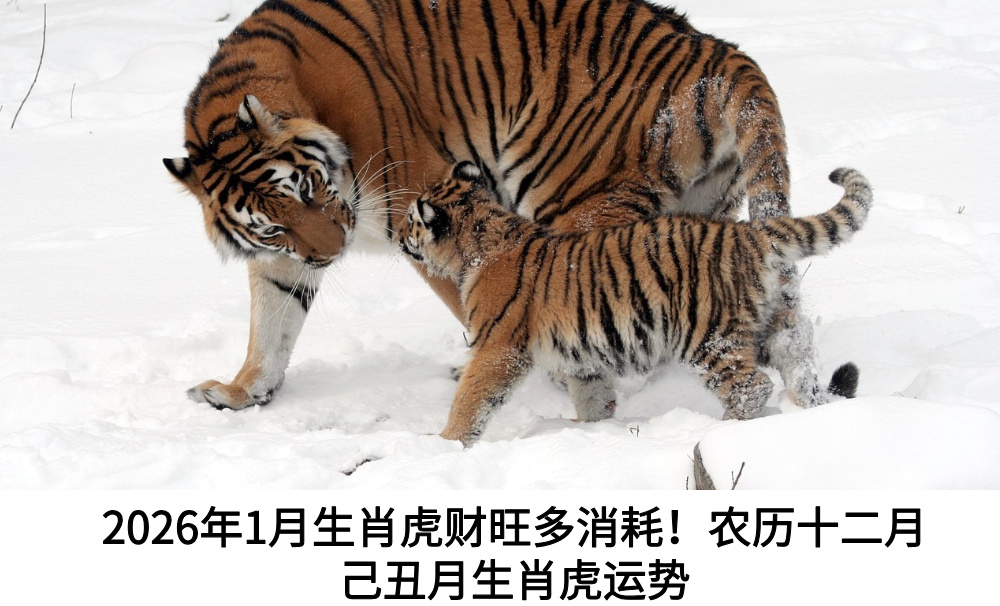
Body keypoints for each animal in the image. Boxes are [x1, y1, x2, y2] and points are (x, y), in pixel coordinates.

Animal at [163, 0, 820, 415]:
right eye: (271, 227)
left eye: (305, 189)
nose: (332, 254)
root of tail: (719, 52)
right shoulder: (285, 257)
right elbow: (271, 324)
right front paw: (242, 392)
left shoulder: (420, 201)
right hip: (704, 211)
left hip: (573, 198)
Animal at [401, 163, 870, 446]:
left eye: (411, 220)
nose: (400, 236)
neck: (480, 238)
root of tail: (748, 233)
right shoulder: (580, 356)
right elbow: (592, 395)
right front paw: (588, 429)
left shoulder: (498, 347)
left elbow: (471, 399)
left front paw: (444, 443)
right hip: (773, 326)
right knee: (800, 367)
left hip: (707, 336)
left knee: (751, 386)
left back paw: (719, 432)